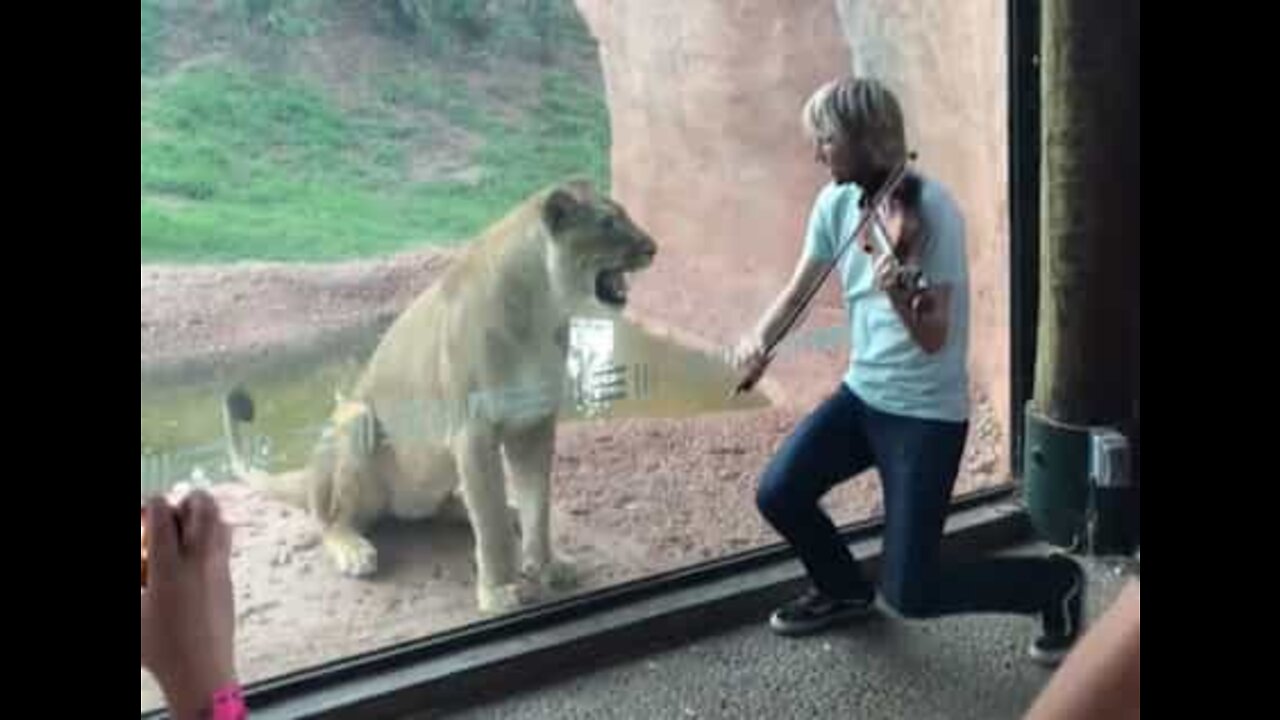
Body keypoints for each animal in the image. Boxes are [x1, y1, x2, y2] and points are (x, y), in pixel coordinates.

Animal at [220, 179, 655, 609]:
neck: (543, 311)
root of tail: (311, 473)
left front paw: (546, 565)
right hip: (357, 419)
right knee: (331, 519)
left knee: (450, 505)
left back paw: (495, 509)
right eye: (608, 223)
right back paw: (353, 549)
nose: (653, 247)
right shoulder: (472, 432)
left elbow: (538, 505)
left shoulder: (533, 421)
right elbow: (491, 526)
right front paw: (499, 591)